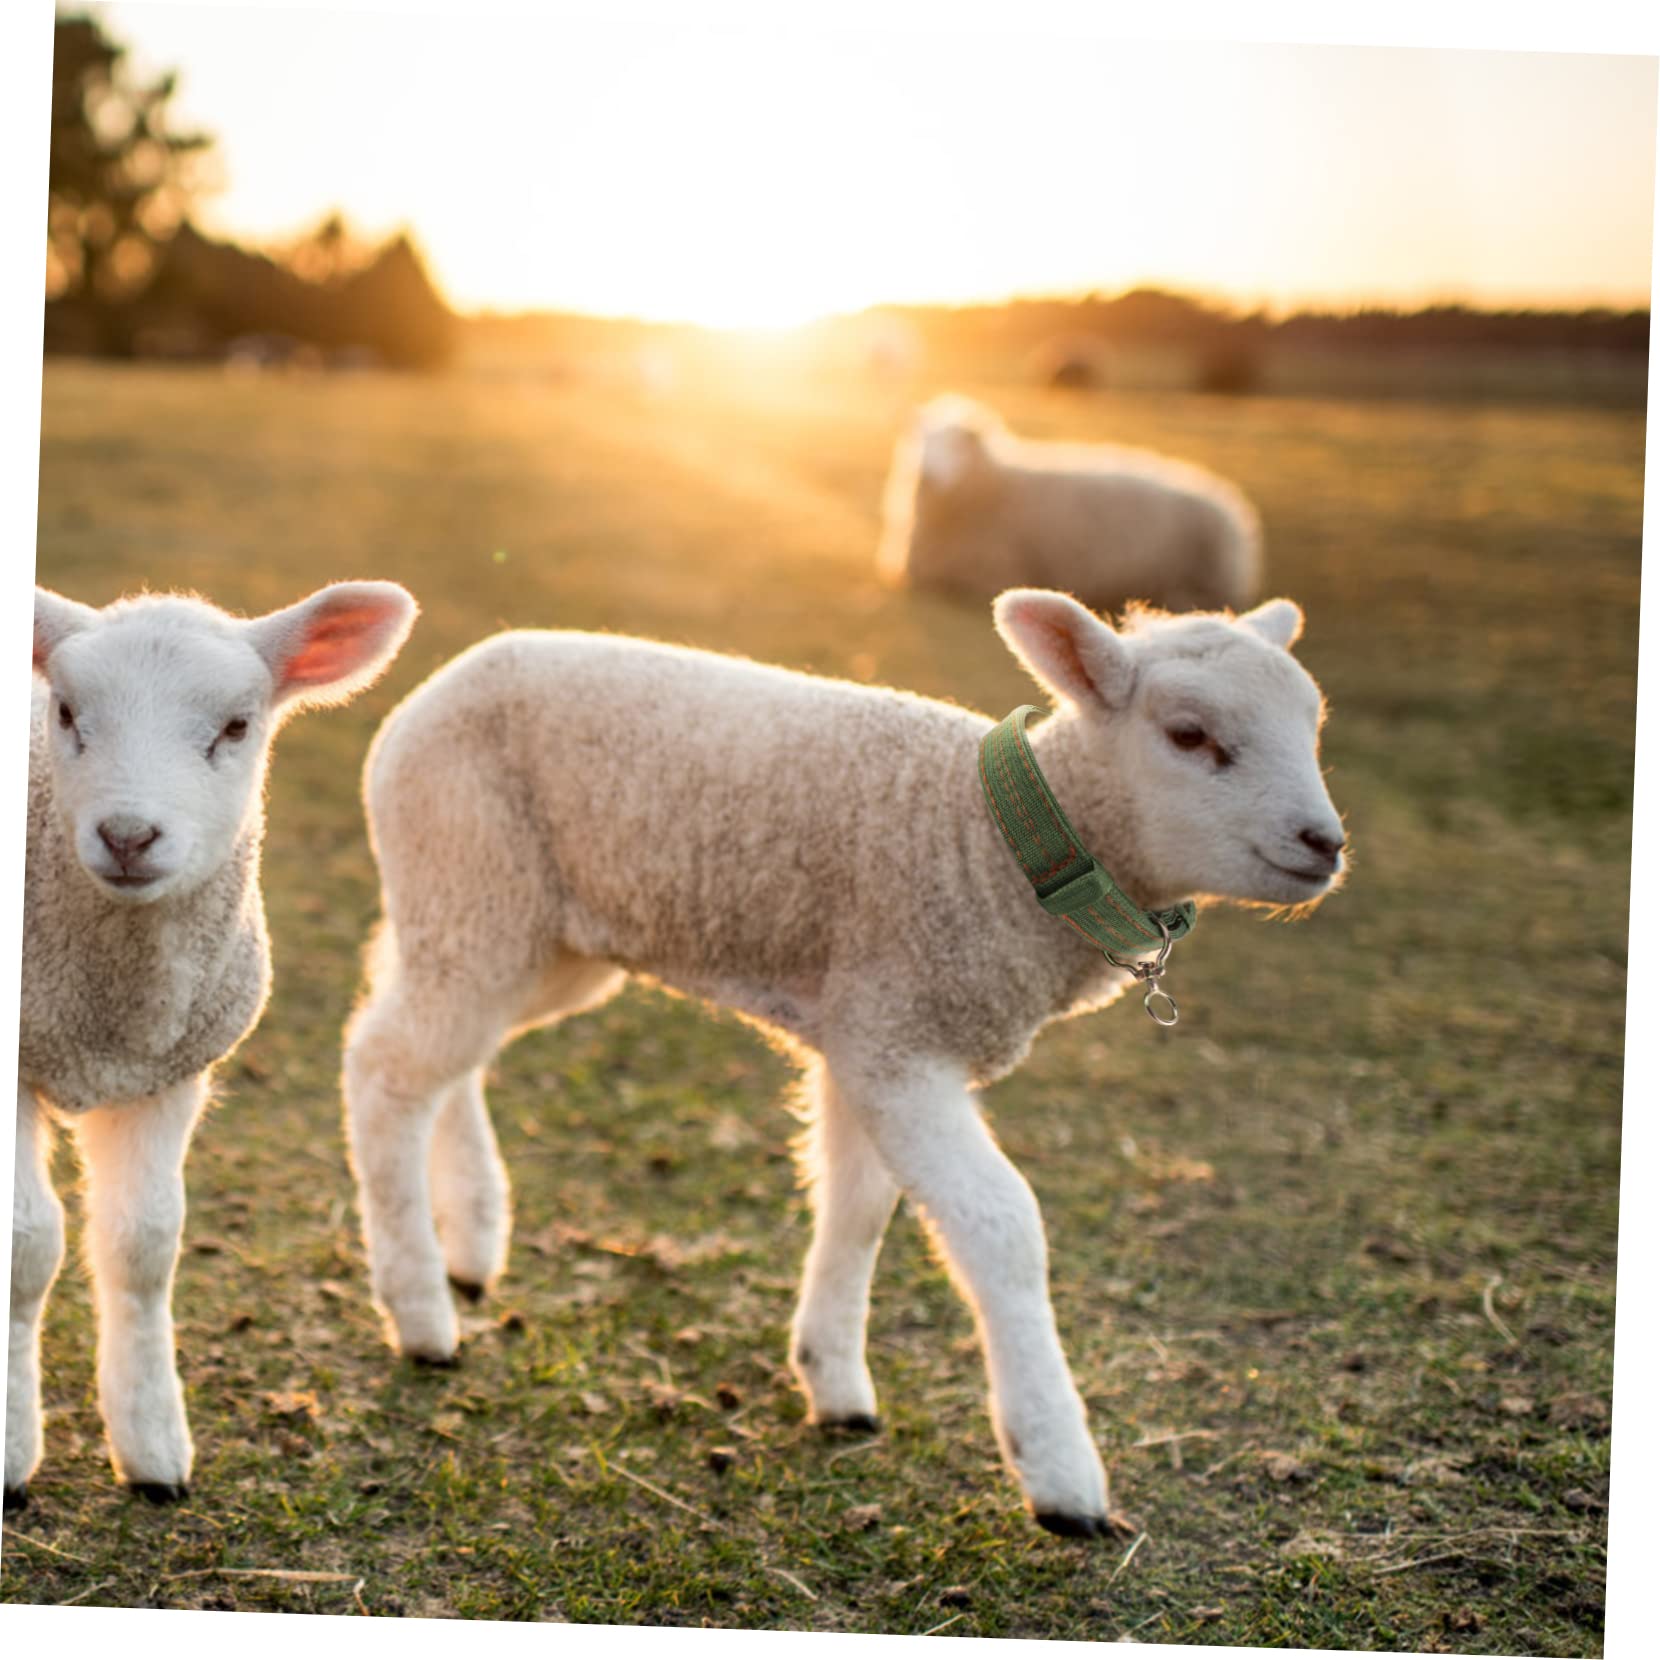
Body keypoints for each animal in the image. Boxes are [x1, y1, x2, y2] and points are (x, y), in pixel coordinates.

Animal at [9, 580, 416, 1510]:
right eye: (66, 711)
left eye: (235, 727)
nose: (128, 836)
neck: (110, 1013)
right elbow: (27, 1244)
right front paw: (11, 1454)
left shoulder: (169, 1070)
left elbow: (144, 1244)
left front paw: (154, 1447)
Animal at [341, 587, 1344, 1536]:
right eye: (1189, 735)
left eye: (1311, 723)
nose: (1324, 844)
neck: (995, 847)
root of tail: (443, 682)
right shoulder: (897, 1038)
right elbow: (1000, 1227)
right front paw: (1059, 1471)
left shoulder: (866, 1032)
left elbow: (859, 1209)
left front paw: (833, 1381)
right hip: (472, 877)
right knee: (386, 1068)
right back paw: (420, 1311)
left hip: (533, 933)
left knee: (443, 1051)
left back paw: (472, 1238)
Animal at [878, 395, 1263, 615]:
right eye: (921, 441)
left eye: (956, 446)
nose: (926, 474)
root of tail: (1231, 504)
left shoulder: (994, 572)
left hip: (1211, 574)